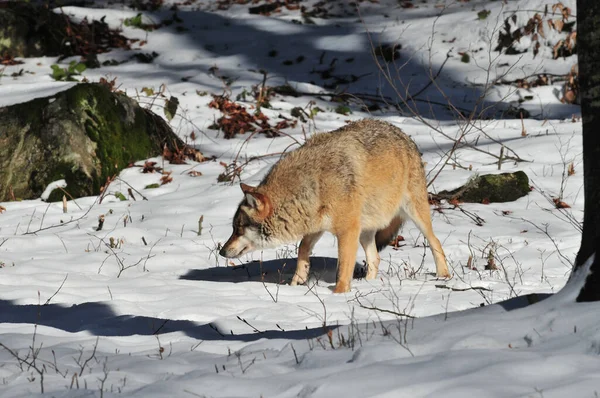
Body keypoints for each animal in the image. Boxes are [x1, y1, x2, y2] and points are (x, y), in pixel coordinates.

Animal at [220, 119, 450, 292]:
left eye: (238, 229)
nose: (222, 252)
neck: (313, 185)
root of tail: (404, 134)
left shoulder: (347, 231)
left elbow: (343, 267)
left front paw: (339, 294)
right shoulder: (317, 226)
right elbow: (302, 248)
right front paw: (298, 280)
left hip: (414, 213)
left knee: (436, 241)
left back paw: (443, 276)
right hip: (365, 230)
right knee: (375, 259)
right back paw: (369, 284)